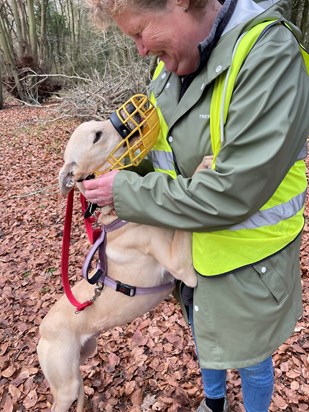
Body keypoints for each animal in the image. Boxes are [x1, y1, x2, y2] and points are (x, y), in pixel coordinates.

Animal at [37, 117, 205, 410]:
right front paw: (204, 165)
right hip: (65, 386)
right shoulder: (181, 267)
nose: (135, 119)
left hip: (82, 361)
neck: (116, 215)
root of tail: (40, 332)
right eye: (96, 136)